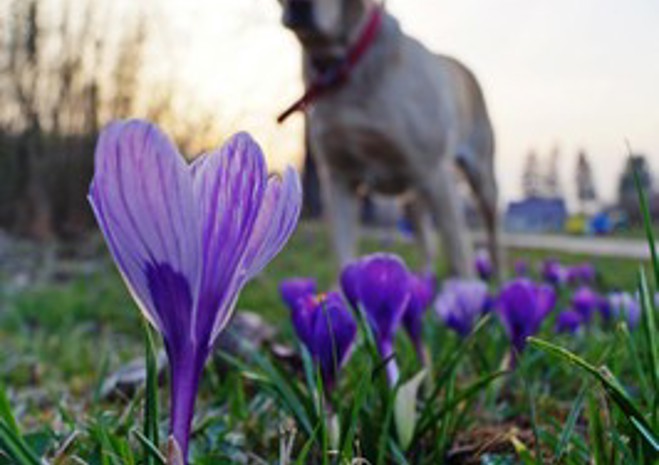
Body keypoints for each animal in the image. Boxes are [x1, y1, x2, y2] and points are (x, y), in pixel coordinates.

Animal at [278, 0, 501, 277]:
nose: (300, 5)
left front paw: (467, 287)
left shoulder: (436, 173)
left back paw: (499, 277)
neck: (344, 62)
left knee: (490, 233)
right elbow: (342, 255)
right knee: (427, 243)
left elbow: (459, 253)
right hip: (413, 196)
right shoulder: (338, 178)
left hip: (480, 178)